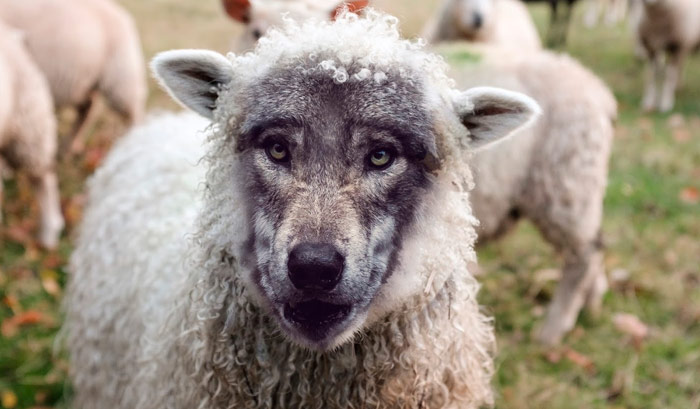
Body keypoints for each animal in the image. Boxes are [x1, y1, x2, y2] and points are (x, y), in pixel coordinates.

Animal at [0, 0, 147, 153]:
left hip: (121, 78)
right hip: (82, 83)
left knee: (133, 113)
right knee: (88, 109)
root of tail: (123, 16)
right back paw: (69, 146)